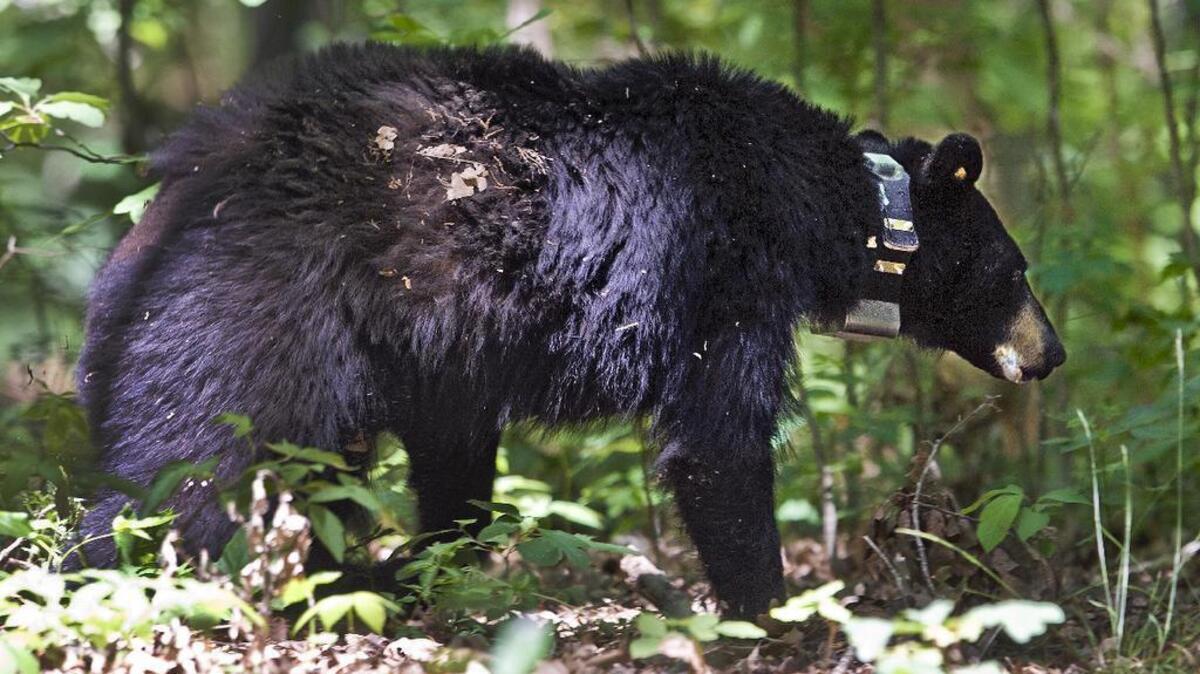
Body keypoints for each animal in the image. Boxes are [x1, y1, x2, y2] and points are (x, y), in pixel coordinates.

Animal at [74, 43, 1065, 618]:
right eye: (1017, 270)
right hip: (253, 314)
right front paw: (768, 610)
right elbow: (720, 445)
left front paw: (425, 565)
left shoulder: (445, 348)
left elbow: (455, 451)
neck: (826, 202)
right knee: (188, 465)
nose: (1051, 353)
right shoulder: (722, 272)